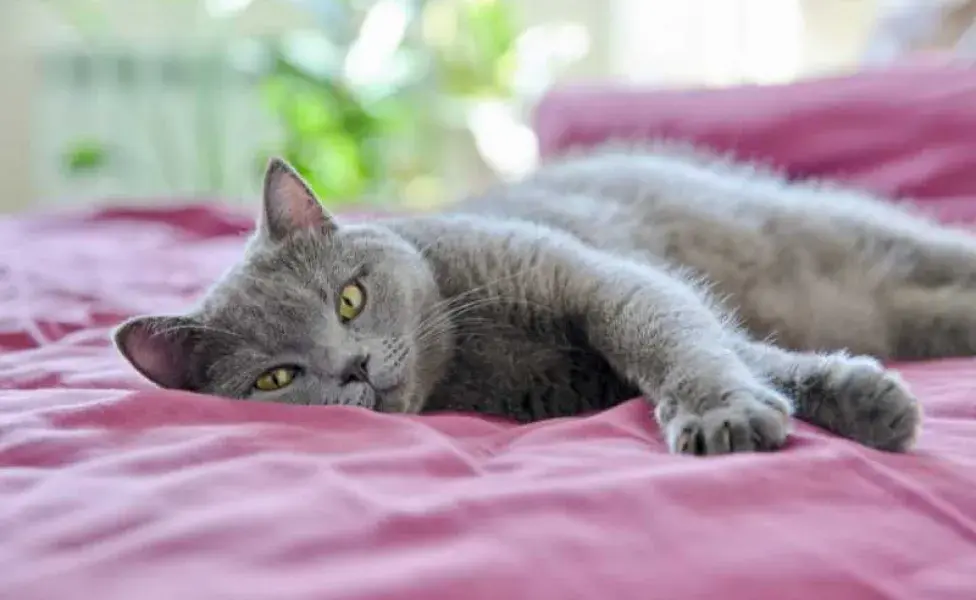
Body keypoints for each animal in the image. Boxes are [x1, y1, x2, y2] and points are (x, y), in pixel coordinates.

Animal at [116, 144, 976, 454]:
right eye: (277, 378)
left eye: (350, 300)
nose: (353, 367)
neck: (470, 352)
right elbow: (756, 355)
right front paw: (863, 401)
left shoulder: (606, 283)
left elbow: (676, 342)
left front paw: (718, 415)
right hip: (899, 311)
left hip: (852, 230)